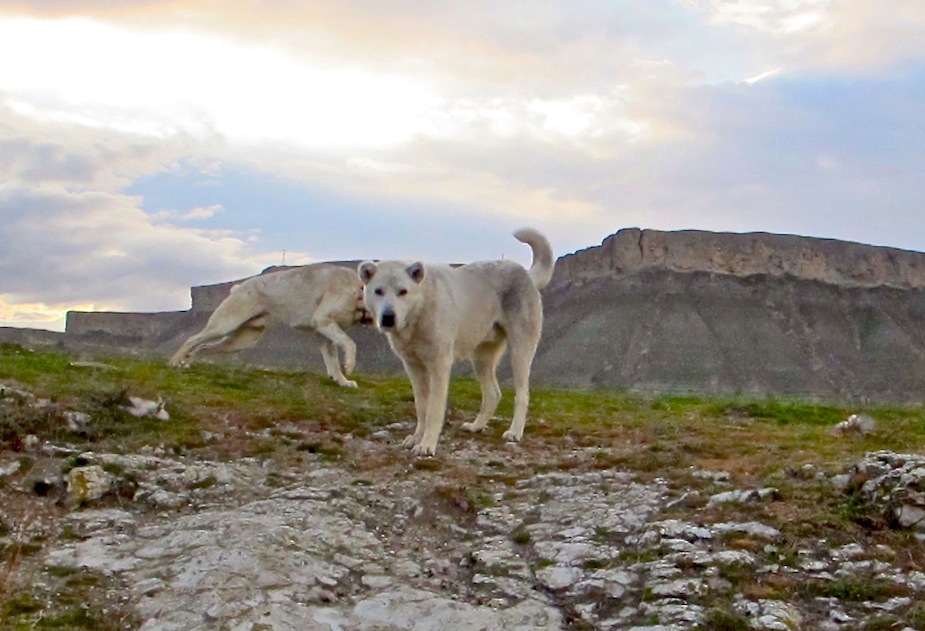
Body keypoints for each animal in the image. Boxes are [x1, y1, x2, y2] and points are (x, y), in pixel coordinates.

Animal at [168, 264, 370, 388]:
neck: (358, 290)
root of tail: (238, 288)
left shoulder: (325, 336)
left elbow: (333, 363)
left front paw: (342, 381)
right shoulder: (322, 321)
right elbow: (350, 344)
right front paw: (349, 366)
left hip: (239, 341)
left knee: (202, 347)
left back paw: (187, 363)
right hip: (223, 325)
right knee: (192, 339)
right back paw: (174, 362)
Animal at [358, 230, 552, 456]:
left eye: (403, 292)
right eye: (378, 291)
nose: (388, 317)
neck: (420, 312)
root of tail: (525, 274)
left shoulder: (439, 366)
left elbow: (434, 410)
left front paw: (427, 444)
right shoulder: (413, 367)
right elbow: (422, 407)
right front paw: (416, 438)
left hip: (520, 352)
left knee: (522, 395)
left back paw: (514, 432)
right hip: (481, 358)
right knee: (493, 394)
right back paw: (476, 426)